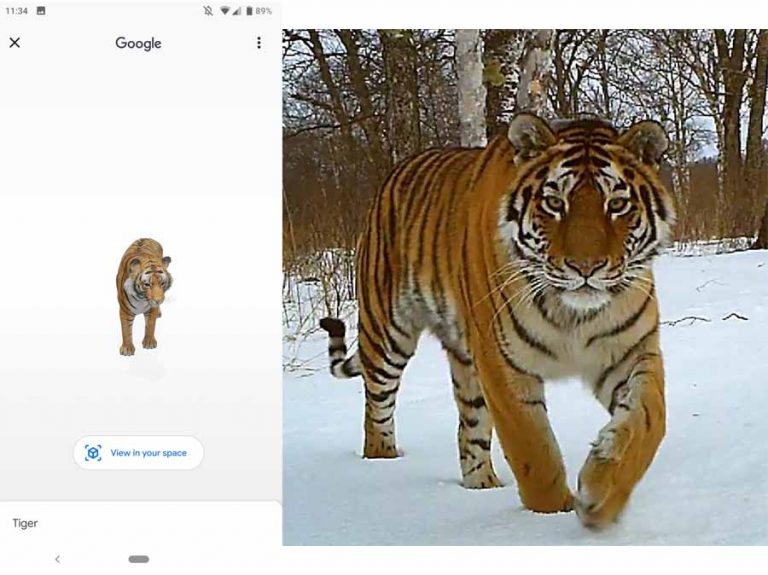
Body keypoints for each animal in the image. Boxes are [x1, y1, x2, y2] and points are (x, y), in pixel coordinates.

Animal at [319, 112, 676, 528]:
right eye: (554, 203)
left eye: (617, 204)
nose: (585, 268)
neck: (573, 314)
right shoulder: (502, 362)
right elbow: (534, 450)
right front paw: (549, 515)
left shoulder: (631, 353)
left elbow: (648, 421)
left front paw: (602, 494)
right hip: (387, 334)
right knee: (376, 411)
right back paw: (383, 461)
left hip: (465, 365)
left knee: (468, 429)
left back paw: (483, 485)